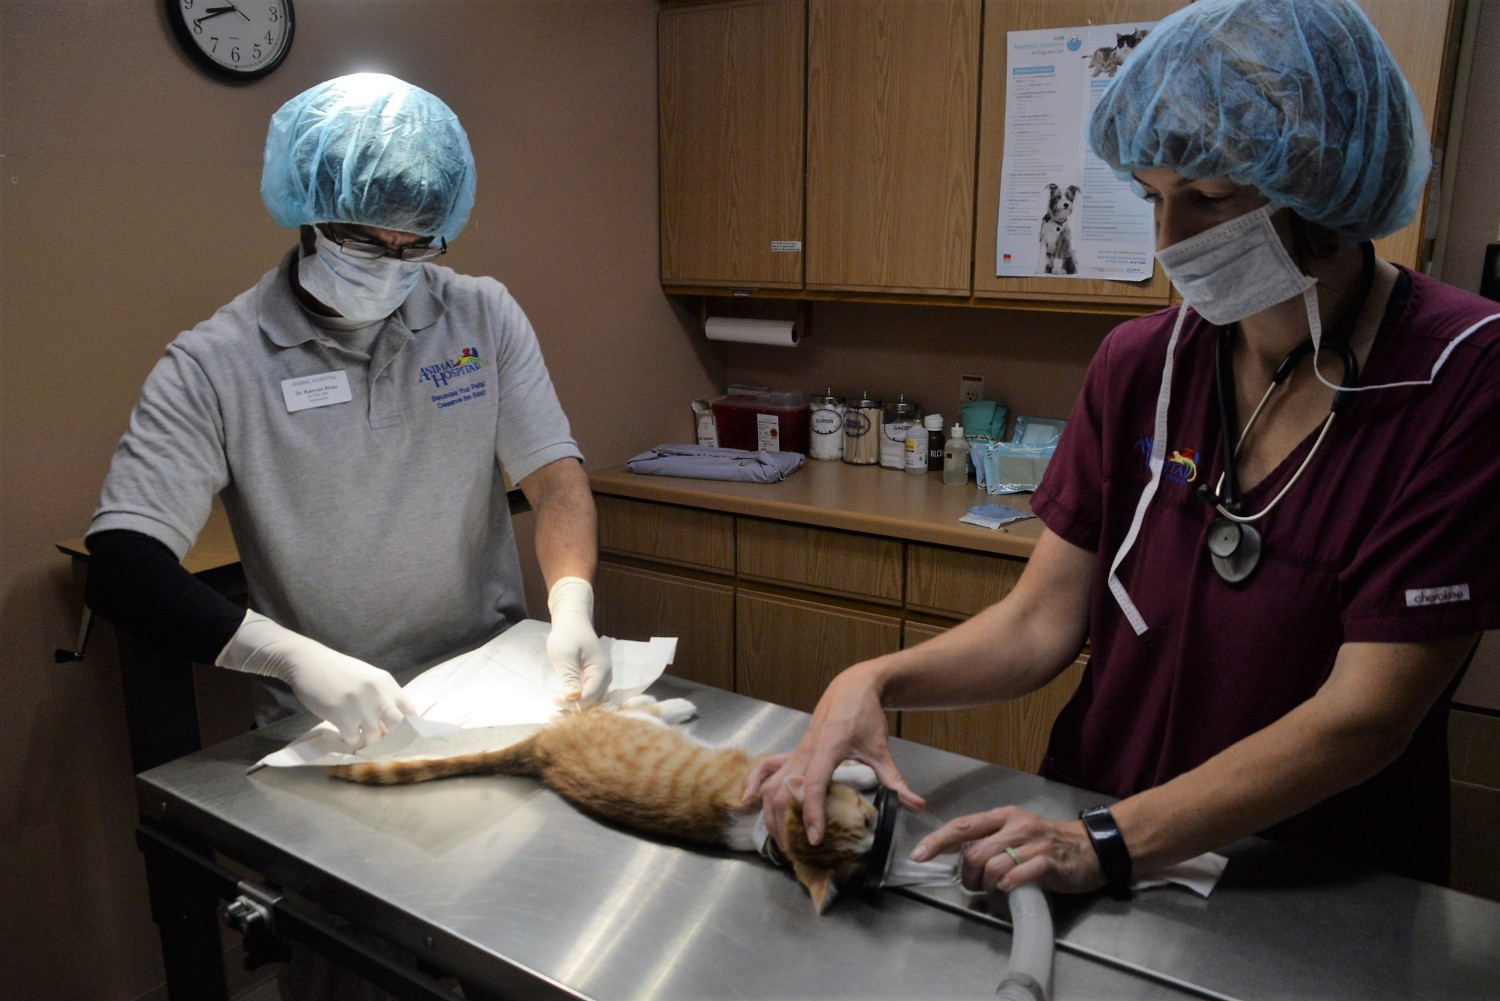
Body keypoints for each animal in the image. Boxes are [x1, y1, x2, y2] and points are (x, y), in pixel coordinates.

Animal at [331, 702, 876, 912]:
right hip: (625, 719)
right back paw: (676, 705)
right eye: (866, 819)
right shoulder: (764, 766)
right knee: (636, 705)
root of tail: (541, 751)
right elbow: (829, 765)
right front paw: (863, 770)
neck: (762, 825)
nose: (877, 837)